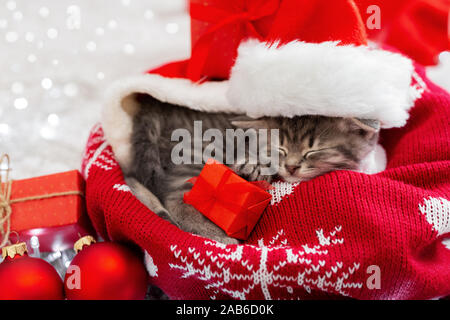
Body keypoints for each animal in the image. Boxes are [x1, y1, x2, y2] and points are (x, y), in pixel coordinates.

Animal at [125, 94, 380, 244]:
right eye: (280, 148)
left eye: (313, 150)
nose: (291, 167)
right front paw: (255, 165)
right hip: (199, 151)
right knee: (175, 198)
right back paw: (219, 238)